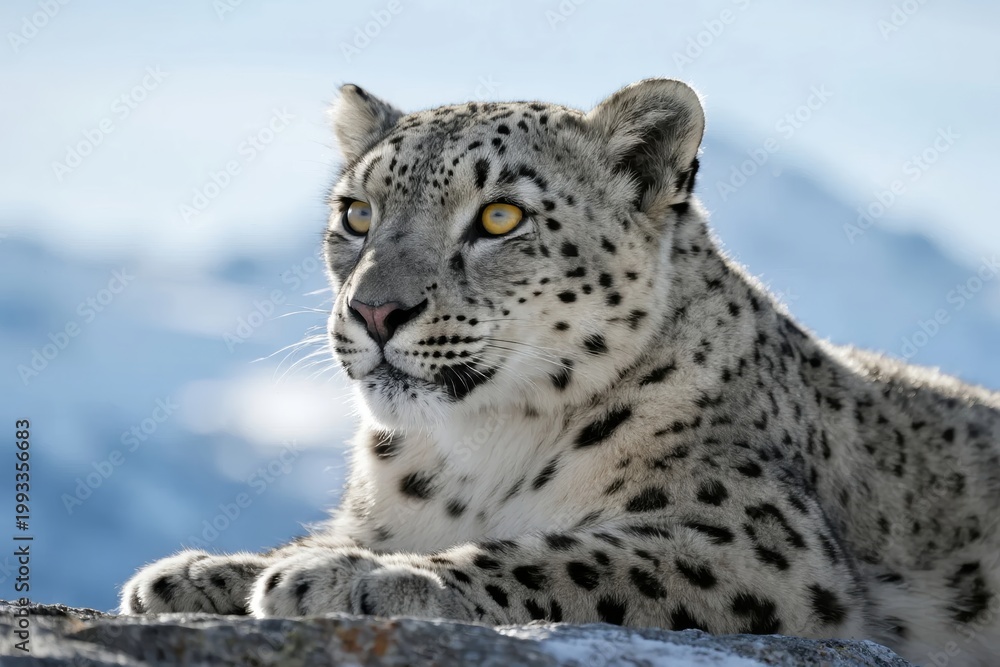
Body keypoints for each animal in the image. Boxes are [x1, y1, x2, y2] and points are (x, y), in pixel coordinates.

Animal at [121, 78, 1000, 667]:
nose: (373, 311)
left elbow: (562, 554)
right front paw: (192, 574)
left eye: (500, 216)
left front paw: (352, 577)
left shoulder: (758, 544)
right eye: (357, 213)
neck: (466, 454)